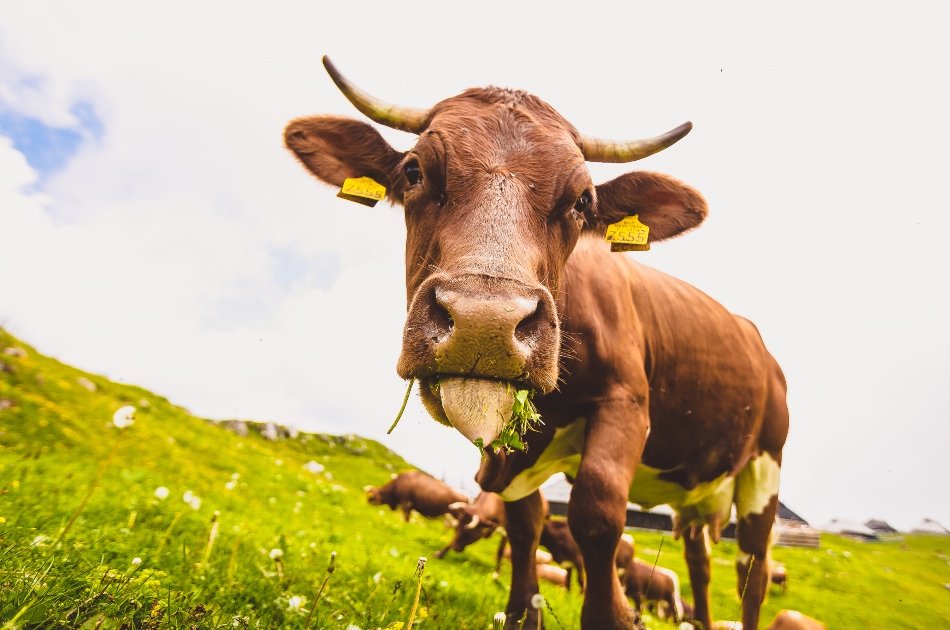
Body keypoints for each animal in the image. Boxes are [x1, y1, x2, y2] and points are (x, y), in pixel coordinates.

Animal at [286, 56, 792, 628]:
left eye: (583, 201)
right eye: (414, 172)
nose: (485, 321)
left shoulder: (626, 402)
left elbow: (596, 510)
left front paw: (614, 613)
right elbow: (524, 523)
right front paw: (522, 611)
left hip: (765, 469)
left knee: (751, 570)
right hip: (698, 496)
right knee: (701, 559)